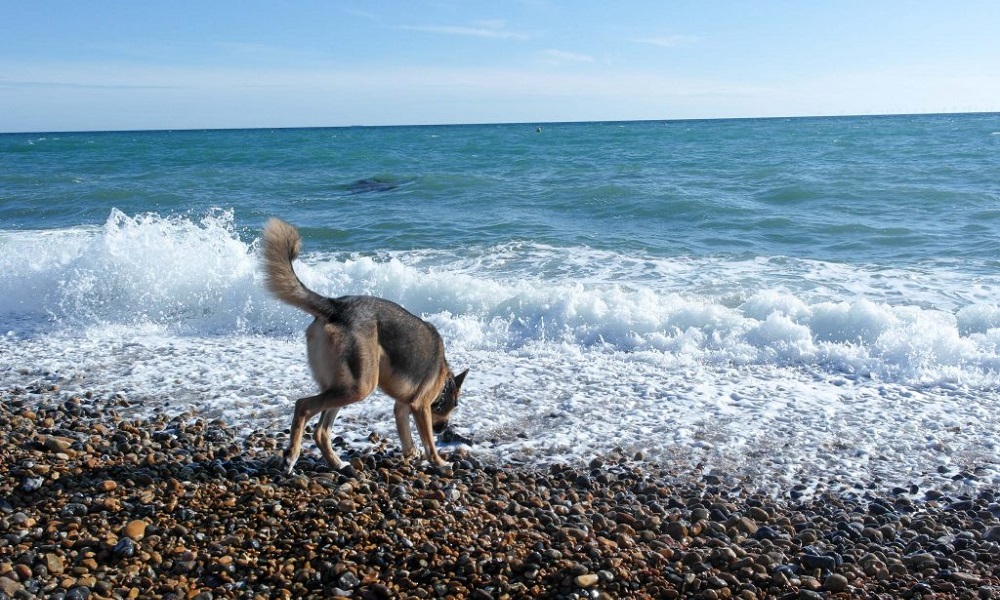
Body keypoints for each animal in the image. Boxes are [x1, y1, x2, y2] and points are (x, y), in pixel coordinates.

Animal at [260, 218, 466, 472]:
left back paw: (337, 463)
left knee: (321, 431)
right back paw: (291, 456)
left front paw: (411, 454)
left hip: (342, 384)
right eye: (453, 405)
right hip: (359, 385)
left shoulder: (402, 407)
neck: (444, 377)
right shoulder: (420, 406)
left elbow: (406, 434)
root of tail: (335, 306)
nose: (443, 429)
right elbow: (428, 443)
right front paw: (439, 462)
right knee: (303, 406)